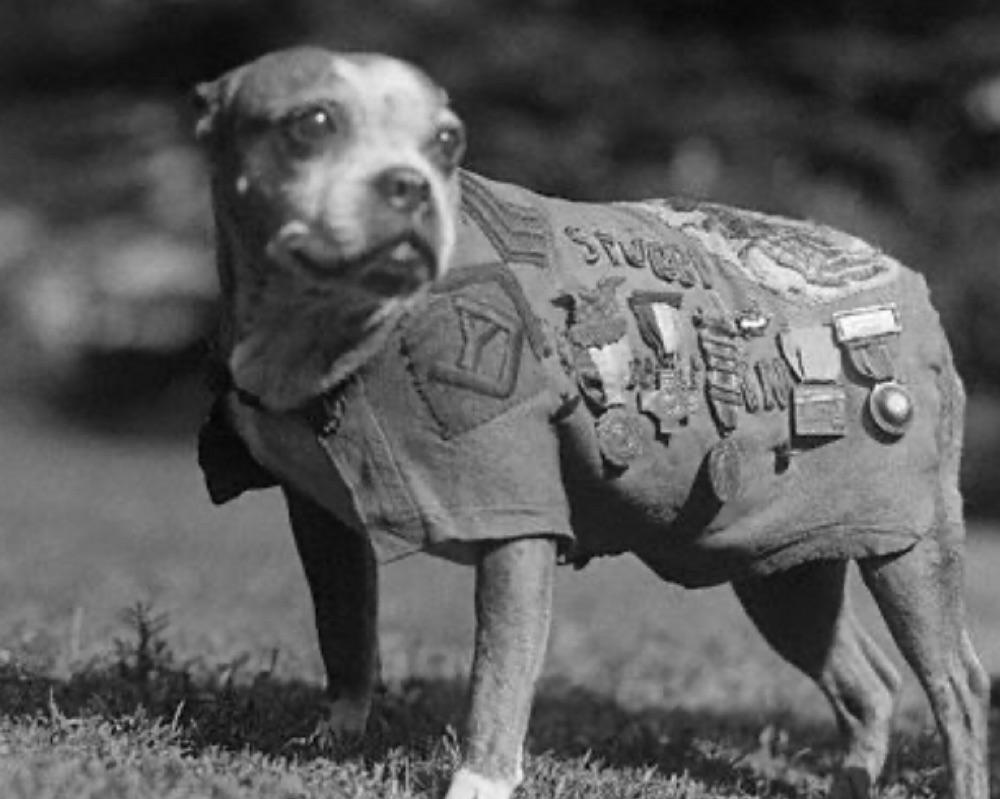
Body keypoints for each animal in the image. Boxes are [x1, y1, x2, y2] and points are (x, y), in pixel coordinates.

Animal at [195, 47, 992, 796]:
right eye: (312, 123)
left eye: (448, 141)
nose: (409, 183)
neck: (330, 329)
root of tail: (902, 278)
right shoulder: (321, 520)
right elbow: (345, 633)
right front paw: (335, 736)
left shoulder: (516, 522)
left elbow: (498, 673)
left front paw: (479, 780)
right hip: (782, 564)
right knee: (868, 683)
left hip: (911, 549)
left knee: (958, 685)